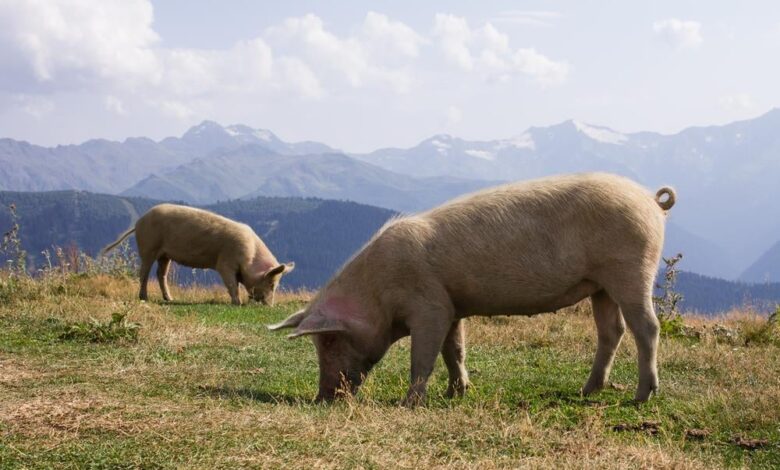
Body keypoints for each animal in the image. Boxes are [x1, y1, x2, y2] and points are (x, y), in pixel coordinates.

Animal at [103, 204, 296, 306]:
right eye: (271, 283)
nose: (270, 306)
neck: (250, 258)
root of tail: (139, 221)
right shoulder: (225, 263)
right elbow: (232, 284)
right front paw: (238, 303)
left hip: (165, 254)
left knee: (161, 274)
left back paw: (170, 299)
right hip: (148, 246)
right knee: (143, 272)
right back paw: (144, 298)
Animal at [268, 173, 676, 404]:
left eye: (329, 340)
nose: (323, 397)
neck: (378, 293)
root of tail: (651, 201)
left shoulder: (429, 305)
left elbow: (424, 356)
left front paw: (410, 403)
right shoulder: (451, 305)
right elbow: (455, 350)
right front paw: (456, 393)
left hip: (631, 268)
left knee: (647, 327)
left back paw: (641, 397)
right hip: (601, 284)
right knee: (612, 330)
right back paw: (586, 391)